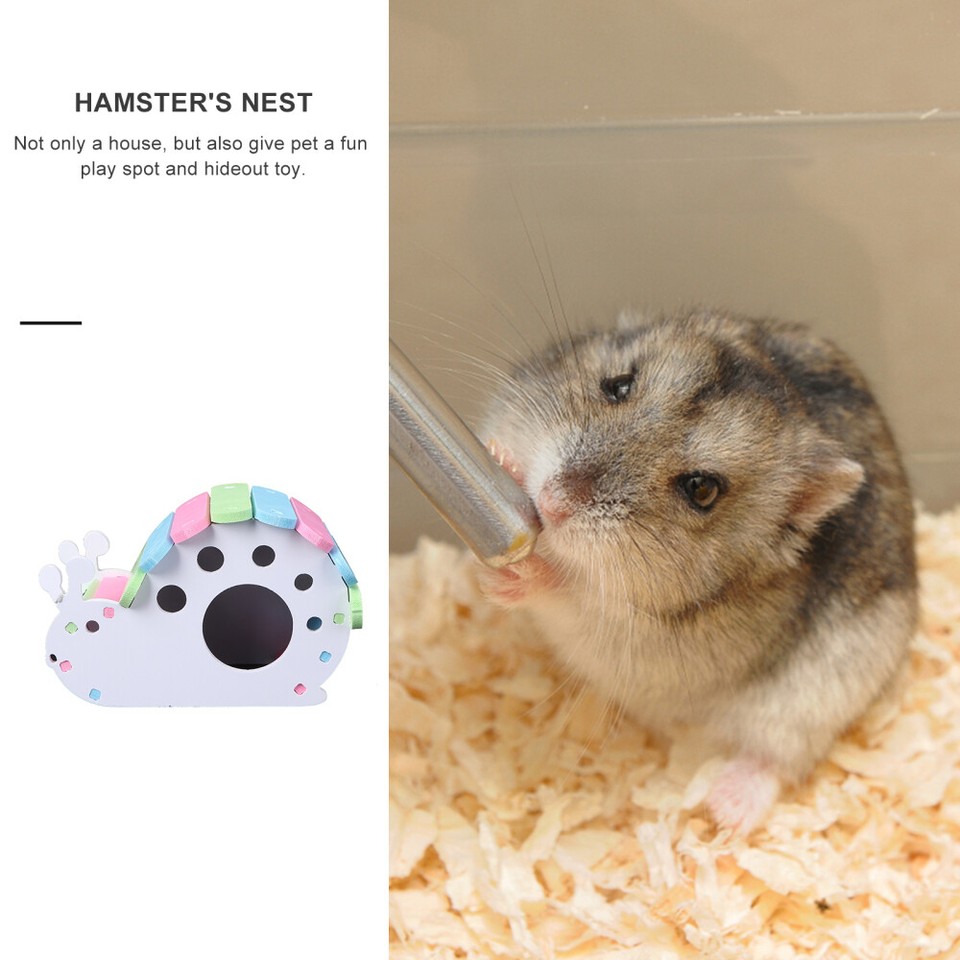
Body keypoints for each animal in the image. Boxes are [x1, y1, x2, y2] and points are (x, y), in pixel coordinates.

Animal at [480, 308, 918, 832]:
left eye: (702, 489)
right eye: (619, 385)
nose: (551, 502)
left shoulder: (638, 638)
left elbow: (571, 595)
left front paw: (520, 575)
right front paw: (500, 456)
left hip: (812, 705)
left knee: (778, 759)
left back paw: (725, 811)